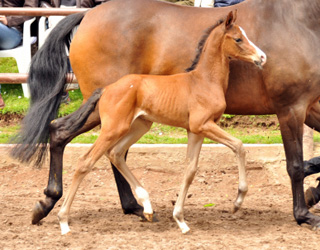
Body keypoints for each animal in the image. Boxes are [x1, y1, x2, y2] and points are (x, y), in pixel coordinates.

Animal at [57, 11, 264, 234]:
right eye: (238, 39)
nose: (261, 57)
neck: (204, 81)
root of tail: (106, 89)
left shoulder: (195, 131)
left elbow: (190, 170)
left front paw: (180, 220)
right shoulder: (203, 125)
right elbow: (239, 146)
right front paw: (238, 201)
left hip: (140, 125)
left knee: (116, 153)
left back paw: (147, 207)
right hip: (113, 129)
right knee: (86, 161)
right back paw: (63, 221)